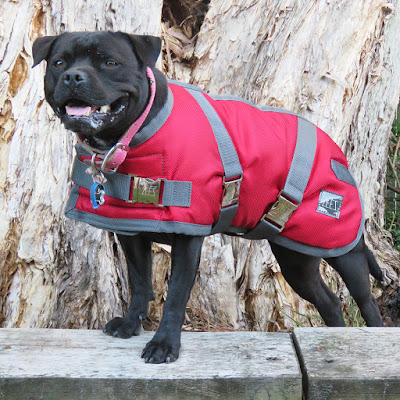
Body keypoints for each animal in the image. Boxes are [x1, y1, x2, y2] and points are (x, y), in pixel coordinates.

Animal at [32, 31, 384, 364]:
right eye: (59, 63)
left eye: (109, 63)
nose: (73, 76)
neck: (132, 135)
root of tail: (337, 151)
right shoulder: (131, 234)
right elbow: (140, 283)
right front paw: (131, 325)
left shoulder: (188, 241)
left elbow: (175, 296)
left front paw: (164, 345)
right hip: (297, 258)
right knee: (329, 301)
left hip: (343, 249)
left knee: (367, 301)